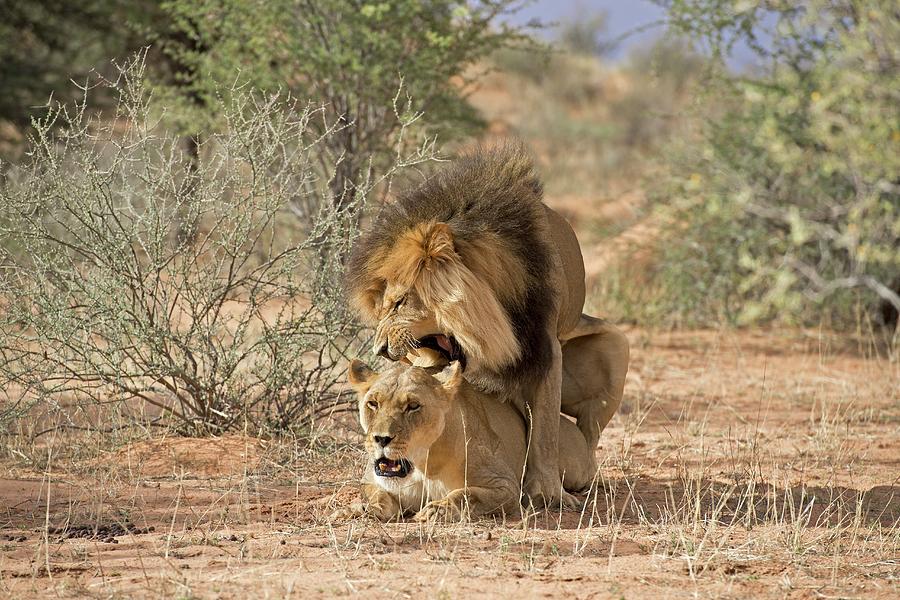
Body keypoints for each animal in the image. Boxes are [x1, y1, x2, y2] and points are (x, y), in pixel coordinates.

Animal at [344, 360, 596, 520]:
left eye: (413, 406)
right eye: (373, 403)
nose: (381, 439)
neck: (423, 464)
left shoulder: (505, 486)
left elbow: (465, 494)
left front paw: (438, 510)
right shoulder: (371, 481)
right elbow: (377, 496)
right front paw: (361, 509)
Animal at [348, 144, 628, 506]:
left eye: (398, 303)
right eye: (382, 307)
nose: (380, 349)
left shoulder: (545, 348)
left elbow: (545, 431)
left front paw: (546, 493)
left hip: (616, 346)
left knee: (586, 438)